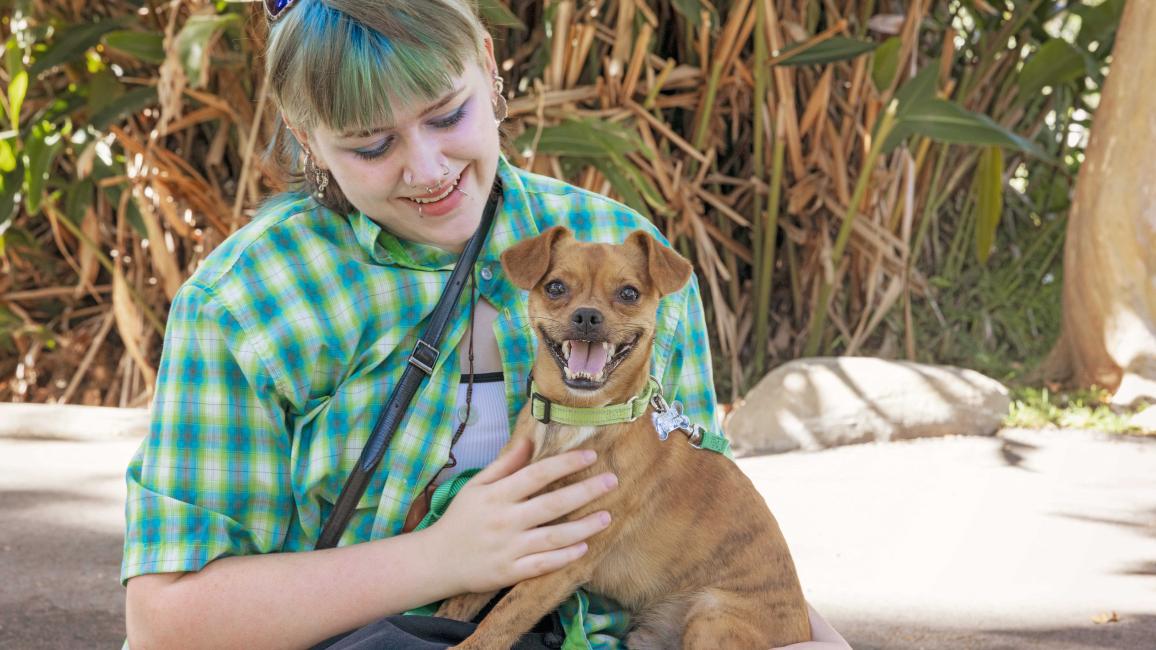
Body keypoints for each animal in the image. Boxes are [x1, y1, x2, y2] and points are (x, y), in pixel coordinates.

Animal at [436, 225, 809, 643]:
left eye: (629, 293)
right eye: (555, 287)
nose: (586, 315)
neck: (578, 419)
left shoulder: (564, 559)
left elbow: (499, 622)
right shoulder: (516, 535)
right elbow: (463, 600)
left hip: (711, 613)